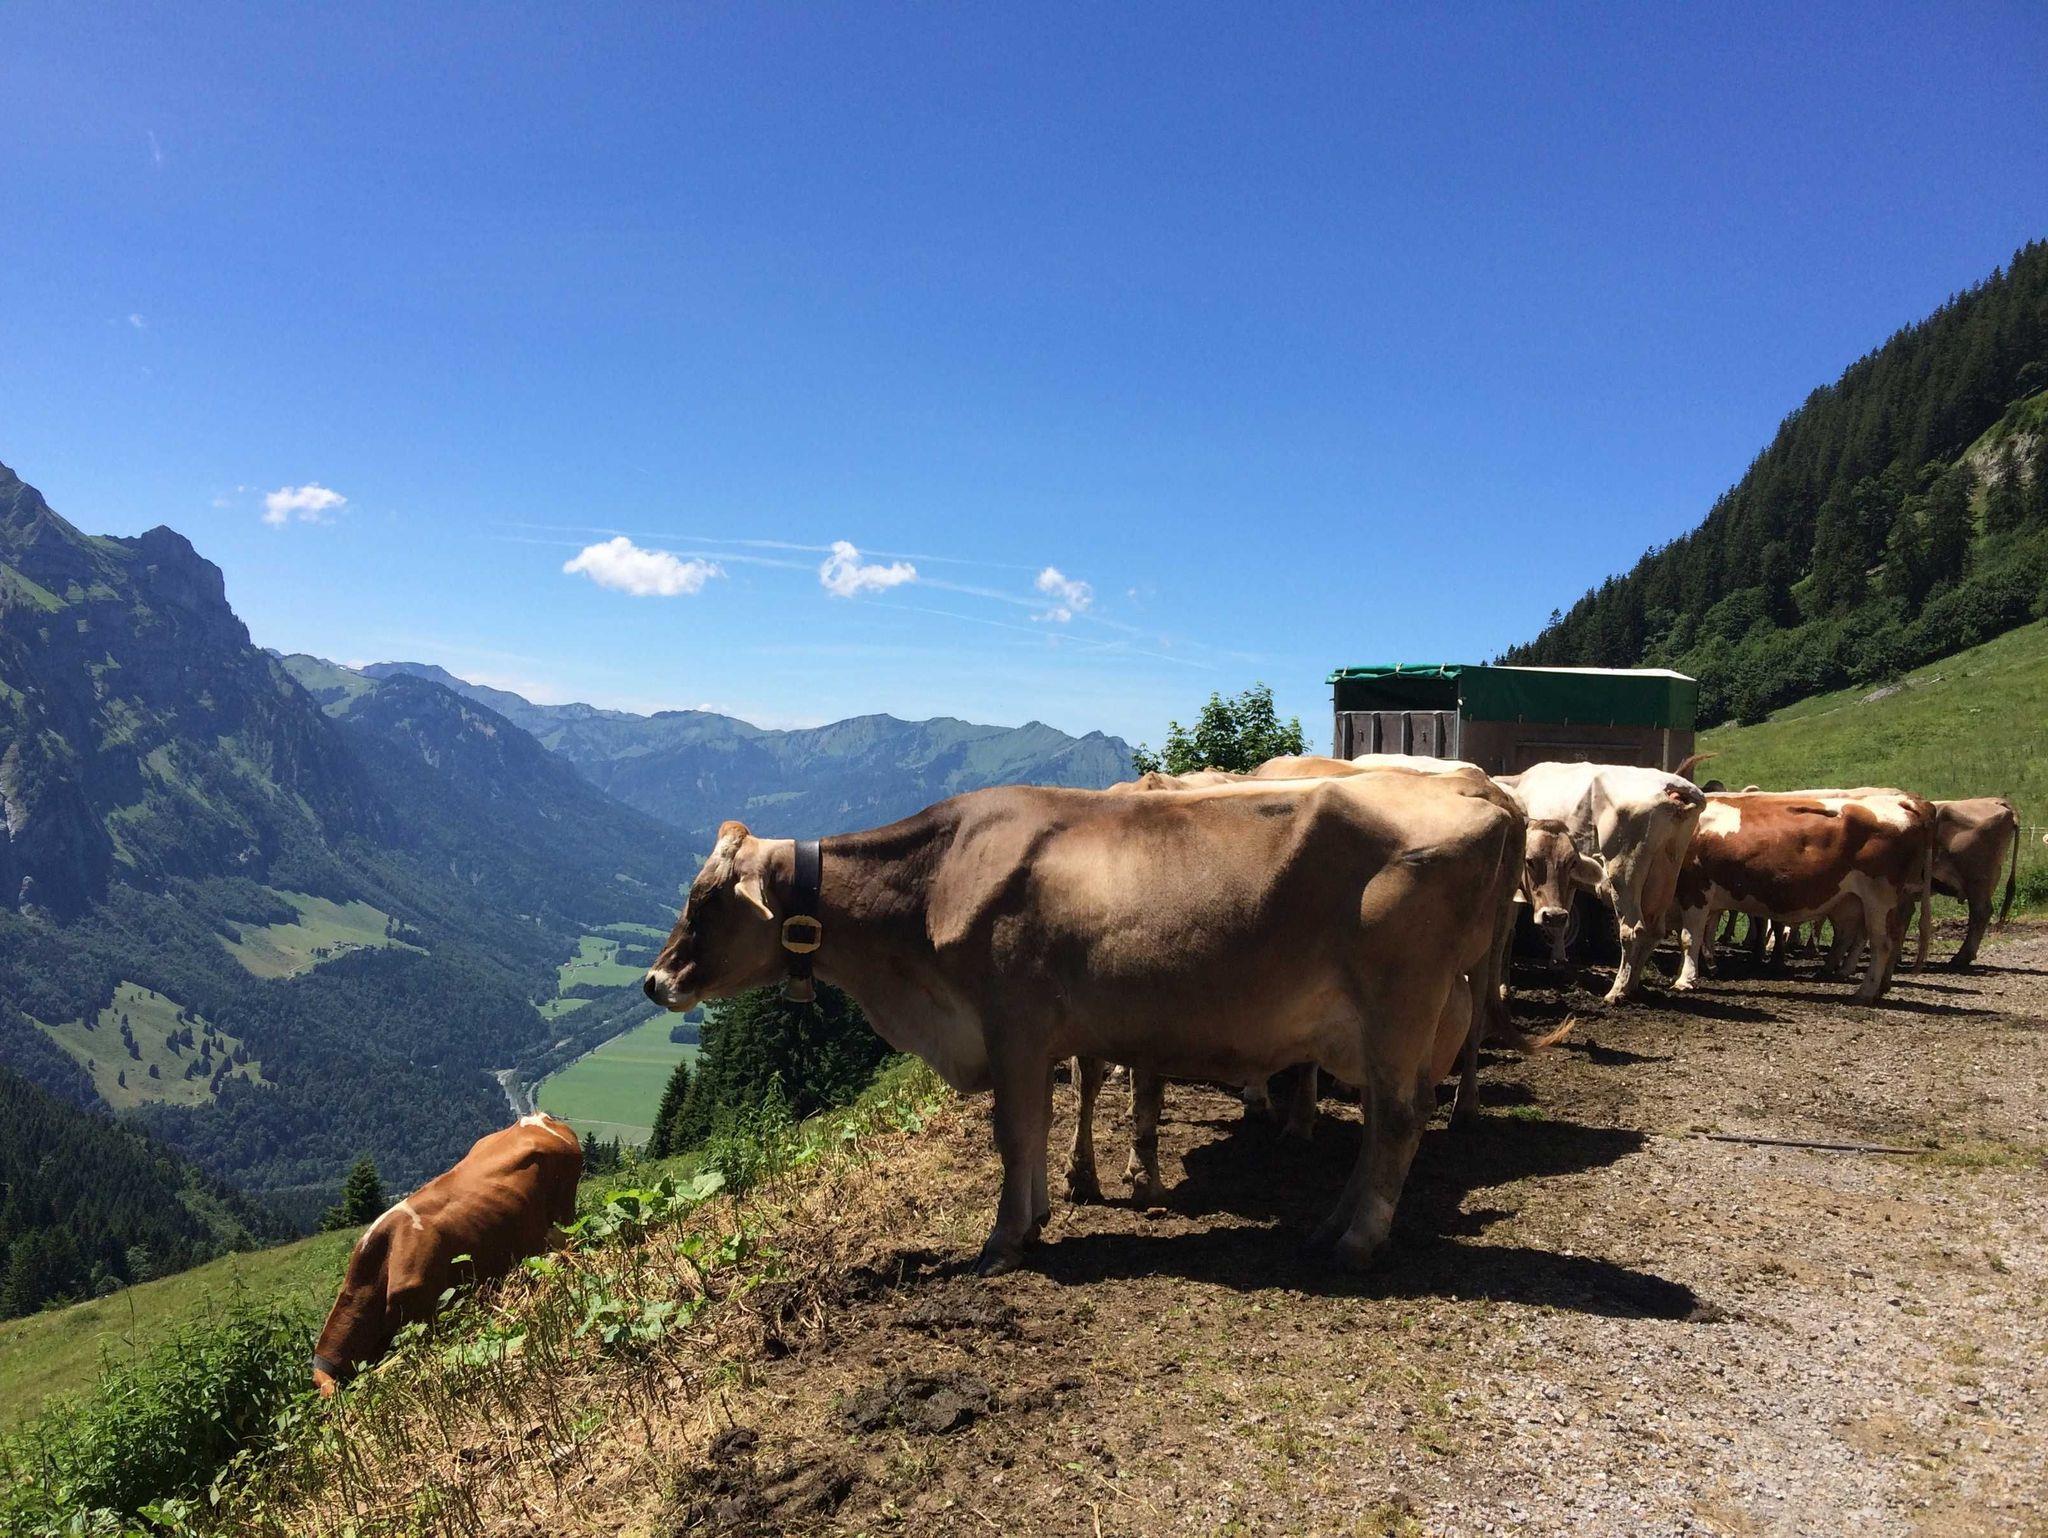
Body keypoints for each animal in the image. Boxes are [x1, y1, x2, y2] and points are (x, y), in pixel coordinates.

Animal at [644, 773, 1523, 1274]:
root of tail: (1480, 797)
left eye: (704, 900)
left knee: (1399, 1121)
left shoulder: (1012, 1024)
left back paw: (1356, 1242)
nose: (655, 983)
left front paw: (1003, 1241)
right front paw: (1038, 1215)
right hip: (1386, 1029)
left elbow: (1013, 1131)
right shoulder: (1032, 1039)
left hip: (1401, 1005)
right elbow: (1036, 1126)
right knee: (1381, 1122)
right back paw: (1329, 1225)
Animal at [1494, 762, 1708, 1004]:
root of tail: (1672, 787)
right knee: (1654, 931)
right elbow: (1561, 919)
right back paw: (1632, 985)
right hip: (1663, 876)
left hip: (1623, 876)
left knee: (1633, 931)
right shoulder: (1567, 881)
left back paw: (1617, 990)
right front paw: (1558, 960)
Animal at [1672, 791, 1934, 1003]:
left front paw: (1684, 980)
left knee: (1882, 943)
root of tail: (1901, 801)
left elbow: (1689, 938)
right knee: (1879, 936)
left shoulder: (1695, 889)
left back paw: (1865, 992)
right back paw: (1878, 987)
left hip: (1879, 898)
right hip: (1870, 901)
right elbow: (1701, 936)